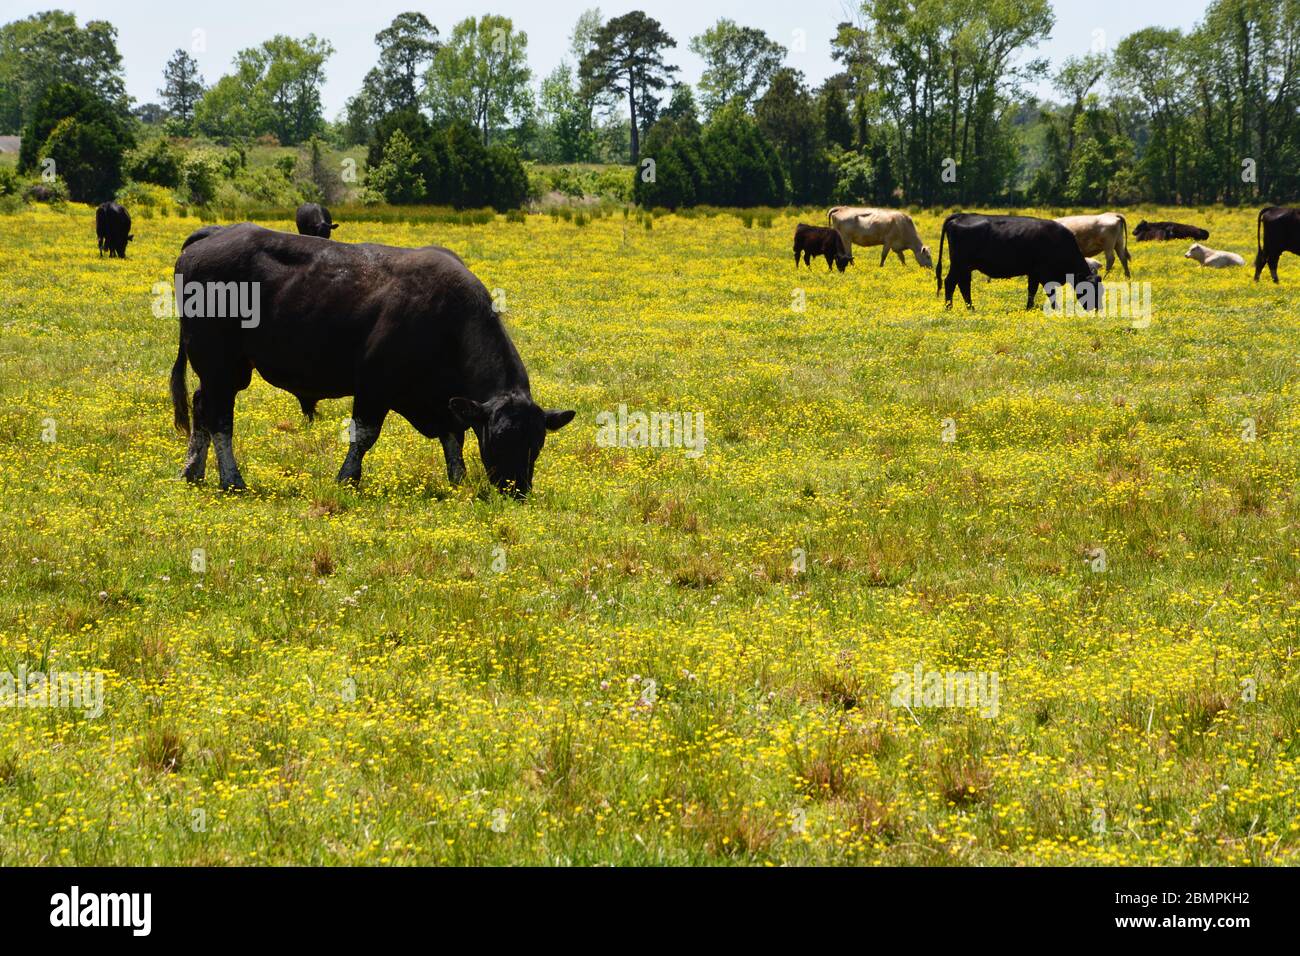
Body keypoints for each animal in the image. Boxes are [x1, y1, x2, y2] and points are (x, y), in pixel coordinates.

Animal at [169, 223, 574, 497]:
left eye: (537, 442)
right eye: (500, 438)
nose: (516, 490)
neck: (449, 321)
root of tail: (215, 233)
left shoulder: (443, 401)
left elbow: (453, 437)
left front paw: (457, 480)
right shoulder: (374, 386)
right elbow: (363, 435)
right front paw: (348, 478)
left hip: (217, 370)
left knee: (201, 408)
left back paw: (192, 471)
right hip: (221, 366)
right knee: (220, 419)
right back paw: (232, 480)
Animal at [935, 213, 1102, 311]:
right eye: (1088, 289)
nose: (1097, 308)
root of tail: (961, 215)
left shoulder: (1034, 273)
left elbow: (1032, 291)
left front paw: (1029, 309)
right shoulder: (1044, 273)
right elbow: (1051, 292)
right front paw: (1056, 310)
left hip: (965, 267)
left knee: (963, 284)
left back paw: (971, 309)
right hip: (959, 264)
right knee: (950, 282)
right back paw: (949, 308)